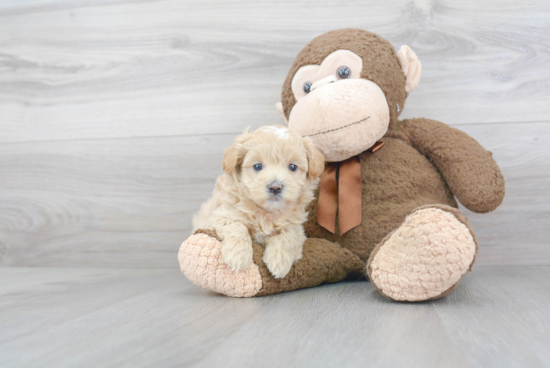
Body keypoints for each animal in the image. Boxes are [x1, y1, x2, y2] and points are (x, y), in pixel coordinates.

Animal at [193, 125, 326, 278]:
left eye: (292, 167)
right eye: (257, 166)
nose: (275, 187)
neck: (266, 212)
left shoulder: (296, 228)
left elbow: (288, 235)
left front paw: (279, 261)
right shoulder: (218, 216)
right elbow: (237, 226)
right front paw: (238, 256)